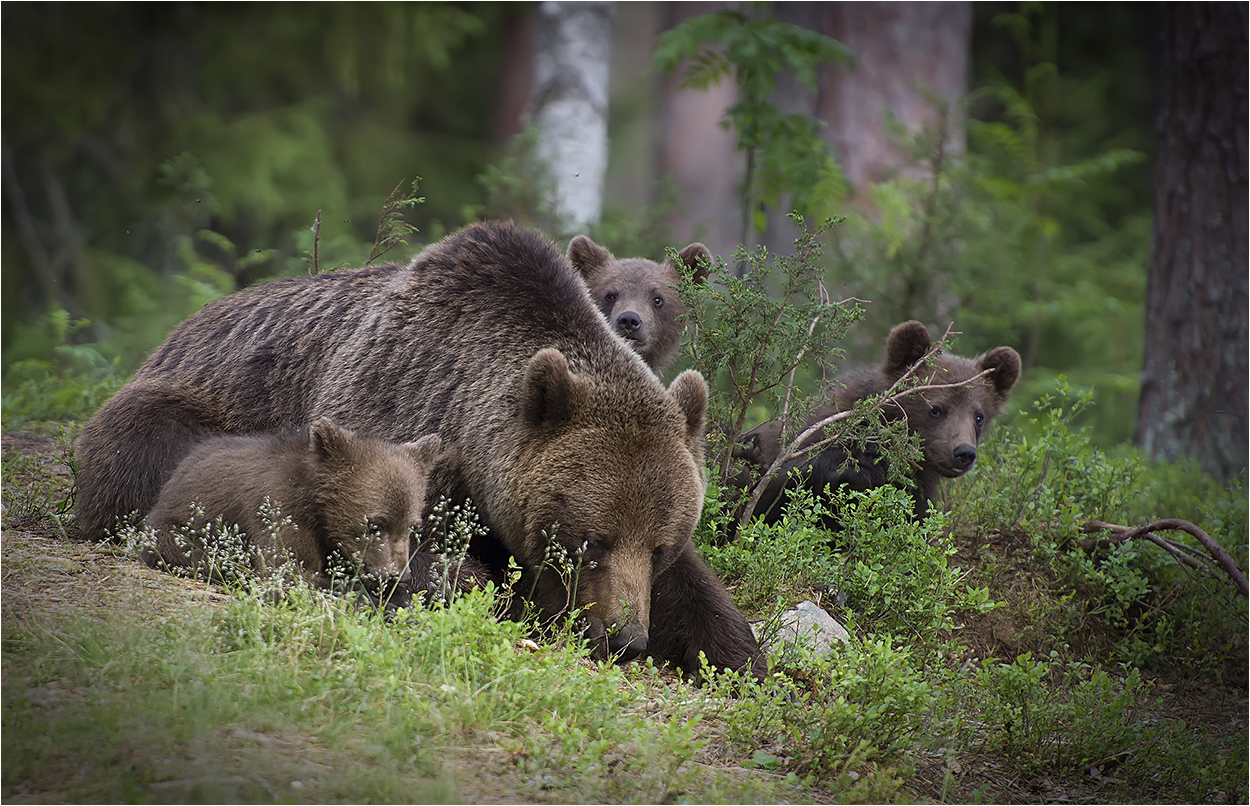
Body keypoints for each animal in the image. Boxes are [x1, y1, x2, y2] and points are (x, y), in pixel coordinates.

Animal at [80, 221, 760, 679]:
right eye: (591, 539)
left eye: (660, 545)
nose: (627, 638)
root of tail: (184, 324)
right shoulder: (393, 420)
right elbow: (413, 554)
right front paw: (490, 593)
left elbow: (699, 598)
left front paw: (744, 659)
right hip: (185, 403)